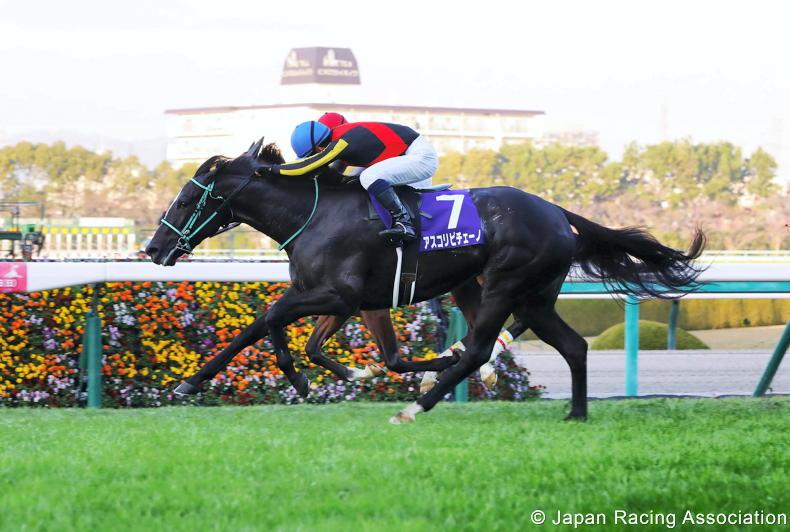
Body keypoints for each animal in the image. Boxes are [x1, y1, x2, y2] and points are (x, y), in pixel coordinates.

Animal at [146, 138, 705, 423]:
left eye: (186, 199)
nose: (153, 249)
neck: (313, 213)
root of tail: (555, 210)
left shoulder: (338, 294)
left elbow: (270, 318)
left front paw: (291, 378)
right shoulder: (352, 301)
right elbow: (308, 340)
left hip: (505, 283)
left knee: (482, 346)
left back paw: (420, 404)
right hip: (528, 295)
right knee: (572, 345)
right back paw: (575, 414)